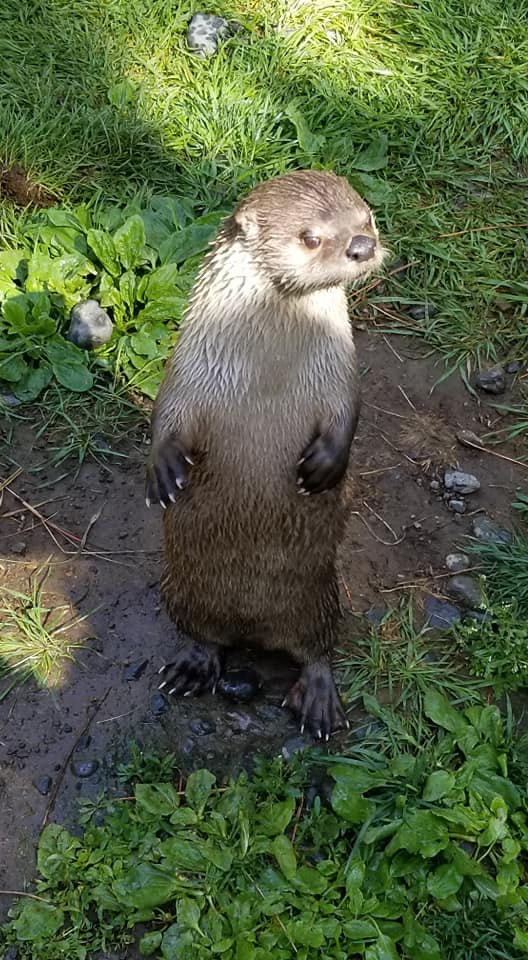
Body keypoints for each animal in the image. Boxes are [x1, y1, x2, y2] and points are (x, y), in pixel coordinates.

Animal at [146, 169, 385, 739]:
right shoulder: (190, 364)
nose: (363, 246)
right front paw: (163, 473)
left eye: (366, 216)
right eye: (311, 236)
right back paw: (193, 667)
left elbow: (348, 413)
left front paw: (324, 466)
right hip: (183, 591)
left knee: (318, 649)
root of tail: (254, 630)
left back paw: (317, 700)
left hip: (320, 599)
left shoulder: (339, 369)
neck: (266, 370)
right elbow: (167, 413)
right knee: (205, 634)